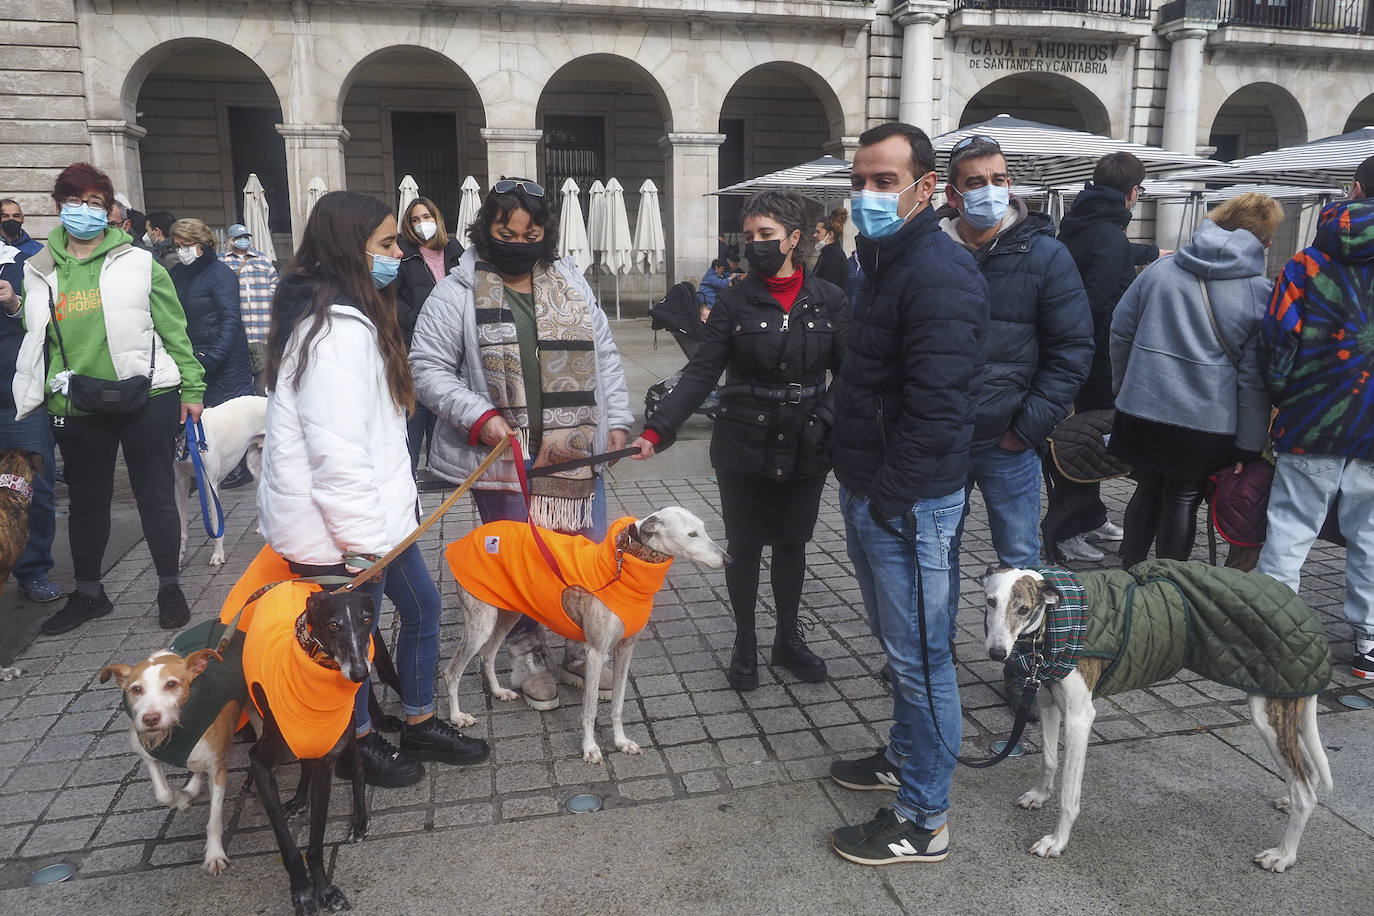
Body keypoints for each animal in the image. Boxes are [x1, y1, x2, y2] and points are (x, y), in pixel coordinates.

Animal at [99, 648, 241, 878]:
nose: (150, 718)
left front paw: (214, 855)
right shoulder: (148, 756)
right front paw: (181, 800)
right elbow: (163, 794)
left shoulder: (217, 768)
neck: (175, 733)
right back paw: (190, 789)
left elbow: (214, 819)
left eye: (171, 684)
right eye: (136, 689)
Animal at [174, 395, 265, 565]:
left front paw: (218, 555)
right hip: (254, 465)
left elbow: (216, 525)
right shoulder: (181, 486)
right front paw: (179, 557)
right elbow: (181, 529)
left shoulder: (210, 485)